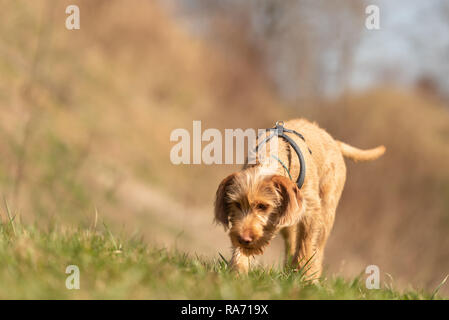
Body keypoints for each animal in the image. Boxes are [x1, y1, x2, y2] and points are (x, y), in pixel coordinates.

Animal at [214, 118, 384, 280]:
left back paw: (311, 276)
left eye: (263, 206)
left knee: (318, 247)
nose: (244, 238)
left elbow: (307, 245)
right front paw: (237, 271)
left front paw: (304, 278)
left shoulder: (311, 211)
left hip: (326, 212)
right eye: (236, 204)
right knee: (292, 242)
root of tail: (334, 141)